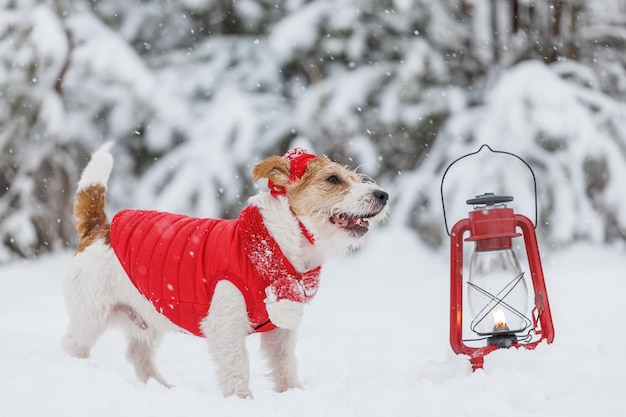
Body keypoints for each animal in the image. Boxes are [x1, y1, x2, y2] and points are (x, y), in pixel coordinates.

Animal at [62, 143, 386, 396]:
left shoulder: (279, 331)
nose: (383, 195)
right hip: (91, 315)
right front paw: (242, 400)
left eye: (355, 177)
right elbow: (237, 366)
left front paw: (293, 395)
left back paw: (163, 389)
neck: (274, 244)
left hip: (146, 317)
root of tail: (98, 228)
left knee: (137, 354)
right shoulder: (226, 324)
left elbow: (285, 366)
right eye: (333, 179)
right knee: (73, 347)